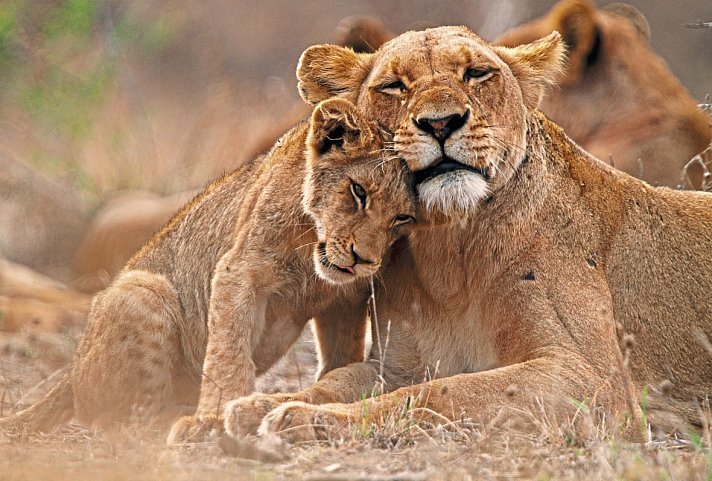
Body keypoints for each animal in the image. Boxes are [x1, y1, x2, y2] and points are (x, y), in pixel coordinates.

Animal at [0, 98, 417, 443]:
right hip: (142, 290)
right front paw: (216, 417)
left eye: (403, 218)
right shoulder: (239, 270)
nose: (364, 260)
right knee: (123, 421)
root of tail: (69, 373)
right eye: (358, 192)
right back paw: (176, 420)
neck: (310, 252)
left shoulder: (345, 298)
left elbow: (341, 355)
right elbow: (228, 352)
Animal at [221, 26, 712, 444]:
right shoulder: (398, 365)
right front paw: (255, 407)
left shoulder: (594, 380)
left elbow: (443, 393)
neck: (449, 252)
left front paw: (302, 420)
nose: (441, 123)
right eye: (394, 86)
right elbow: (338, 380)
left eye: (476, 73)